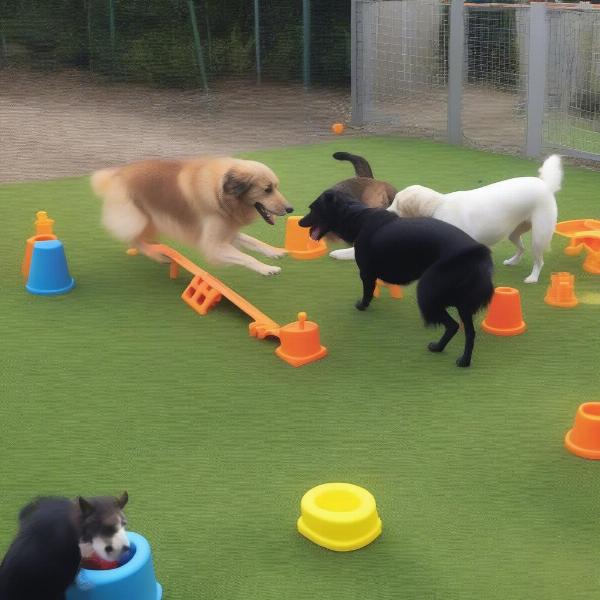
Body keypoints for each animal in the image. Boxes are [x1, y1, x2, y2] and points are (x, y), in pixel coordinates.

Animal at [91, 156, 292, 276]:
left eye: (276, 187)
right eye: (267, 189)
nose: (291, 209)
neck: (220, 192)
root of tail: (117, 173)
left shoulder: (227, 233)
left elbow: (255, 242)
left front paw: (275, 251)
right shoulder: (212, 245)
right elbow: (247, 257)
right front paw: (266, 269)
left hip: (149, 219)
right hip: (136, 219)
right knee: (134, 240)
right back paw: (157, 255)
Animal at [298, 190, 492, 368]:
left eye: (312, 208)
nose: (299, 222)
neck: (358, 218)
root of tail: (476, 256)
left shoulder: (366, 272)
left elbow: (367, 291)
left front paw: (362, 306)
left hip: (428, 294)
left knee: (452, 325)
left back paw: (437, 348)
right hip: (463, 306)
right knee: (469, 333)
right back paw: (463, 361)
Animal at [330, 157, 564, 284]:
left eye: (396, 203)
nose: (384, 212)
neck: (437, 207)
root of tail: (545, 185)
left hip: (539, 236)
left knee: (538, 260)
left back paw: (532, 277)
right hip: (514, 232)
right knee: (521, 248)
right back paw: (513, 261)